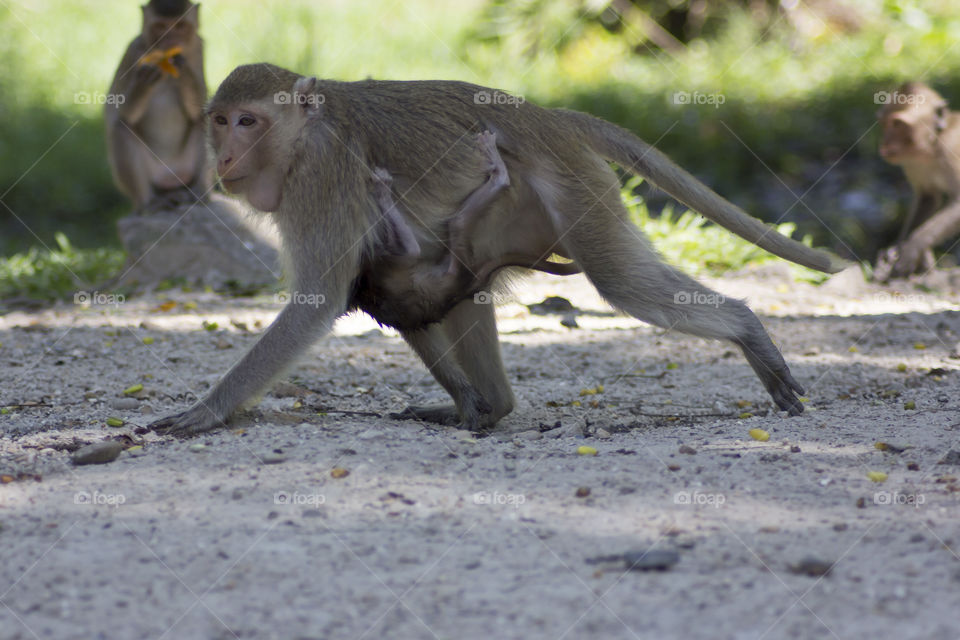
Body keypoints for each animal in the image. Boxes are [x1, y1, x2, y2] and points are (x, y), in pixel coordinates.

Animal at [104, 0, 209, 215]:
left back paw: (199, 193)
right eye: (160, 27)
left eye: (180, 26)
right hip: (153, 175)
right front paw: (144, 82)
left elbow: (201, 106)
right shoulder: (133, 52)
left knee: (206, 120)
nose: (170, 40)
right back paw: (149, 202)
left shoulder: (198, 48)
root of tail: (170, 177)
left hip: (185, 169)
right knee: (121, 129)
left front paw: (183, 69)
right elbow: (118, 111)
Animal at [146, 63, 844, 436]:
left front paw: (206, 410)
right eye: (220, 121)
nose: (224, 157)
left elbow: (320, 300)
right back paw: (487, 406)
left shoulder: (321, 179)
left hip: (572, 188)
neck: (304, 134)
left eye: (249, 122)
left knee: (618, 279)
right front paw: (466, 402)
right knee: (457, 293)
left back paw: (747, 329)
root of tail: (545, 116)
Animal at [872, 80, 960, 280]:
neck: (934, 145)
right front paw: (896, 250)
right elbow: (927, 199)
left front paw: (911, 249)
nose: (885, 142)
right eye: (885, 123)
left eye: (898, 124)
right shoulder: (912, 164)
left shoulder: (952, 149)